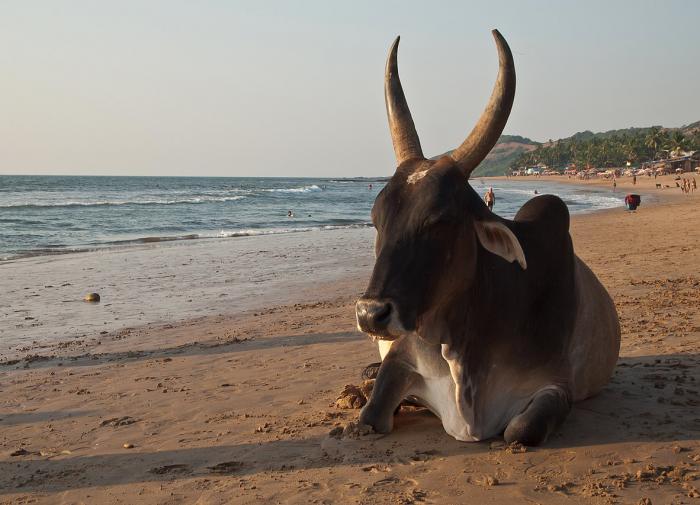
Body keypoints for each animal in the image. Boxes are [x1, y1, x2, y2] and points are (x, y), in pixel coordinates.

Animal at [356, 29, 616, 444]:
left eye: (441, 220)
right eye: (377, 219)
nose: (370, 314)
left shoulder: (555, 384)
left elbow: (520, 431)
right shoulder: (402, 356)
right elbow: (369, 415)